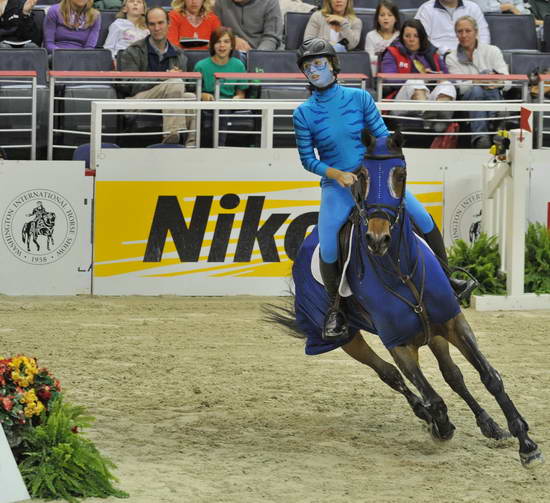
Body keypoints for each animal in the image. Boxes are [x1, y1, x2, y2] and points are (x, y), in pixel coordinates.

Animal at [266, 131, 544, 468]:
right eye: (362, 175)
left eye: (401, 174)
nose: (377, 239)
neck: (400, 271)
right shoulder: (399, 343)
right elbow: (432, 396)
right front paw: (441, 426)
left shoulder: (452, 322)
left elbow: (489, 377)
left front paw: (526, 442)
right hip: (348, 339)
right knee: (391, 375)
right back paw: (428, 415)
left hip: (432, 332)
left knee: (453, 375)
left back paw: (489, 425)